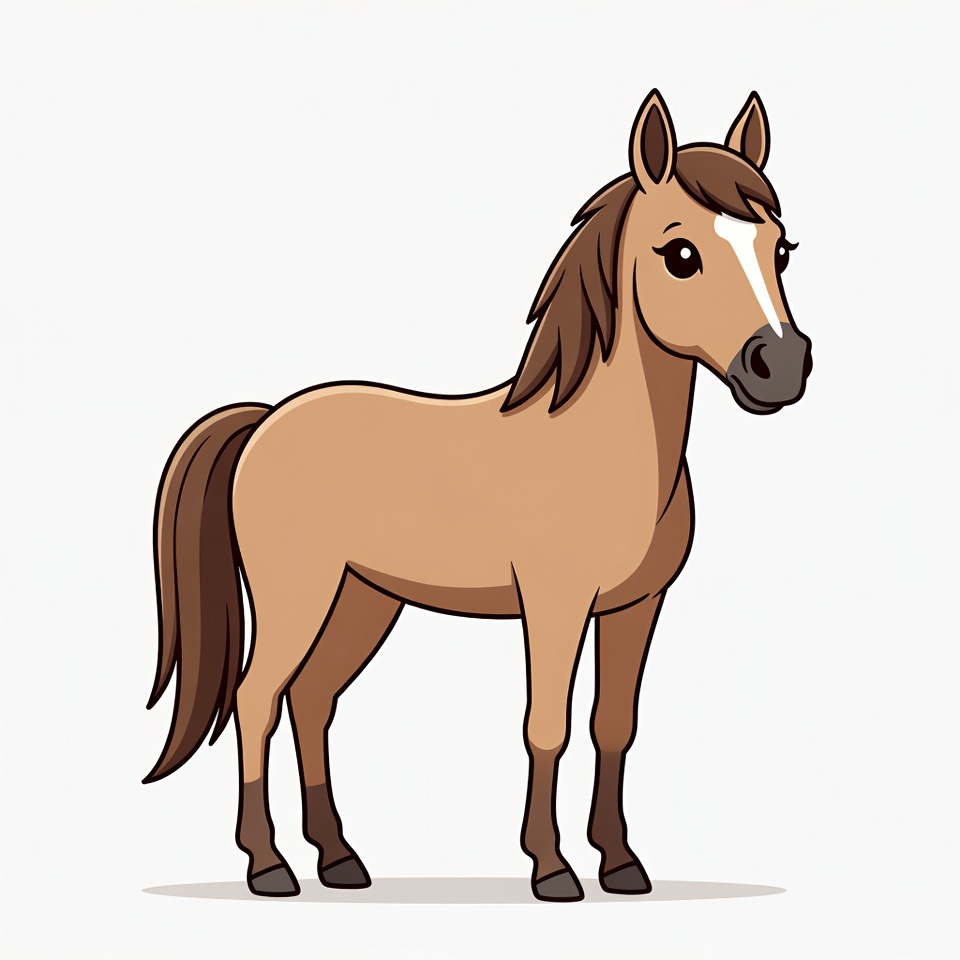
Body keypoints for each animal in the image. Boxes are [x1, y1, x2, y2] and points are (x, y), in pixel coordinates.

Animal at [145, 89, 812, 902]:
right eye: (681, 254)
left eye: (782, 249)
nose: (781, 364)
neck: (603, 446)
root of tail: (266, 419)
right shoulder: (555, 605)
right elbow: (547, 725)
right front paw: (551, 868)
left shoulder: (636, 606)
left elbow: (614, 723)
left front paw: (621, 862)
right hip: (296, 597)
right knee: (256, 699)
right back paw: (268, 866)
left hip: (363, 600)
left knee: (312, 699)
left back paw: (339, 859)